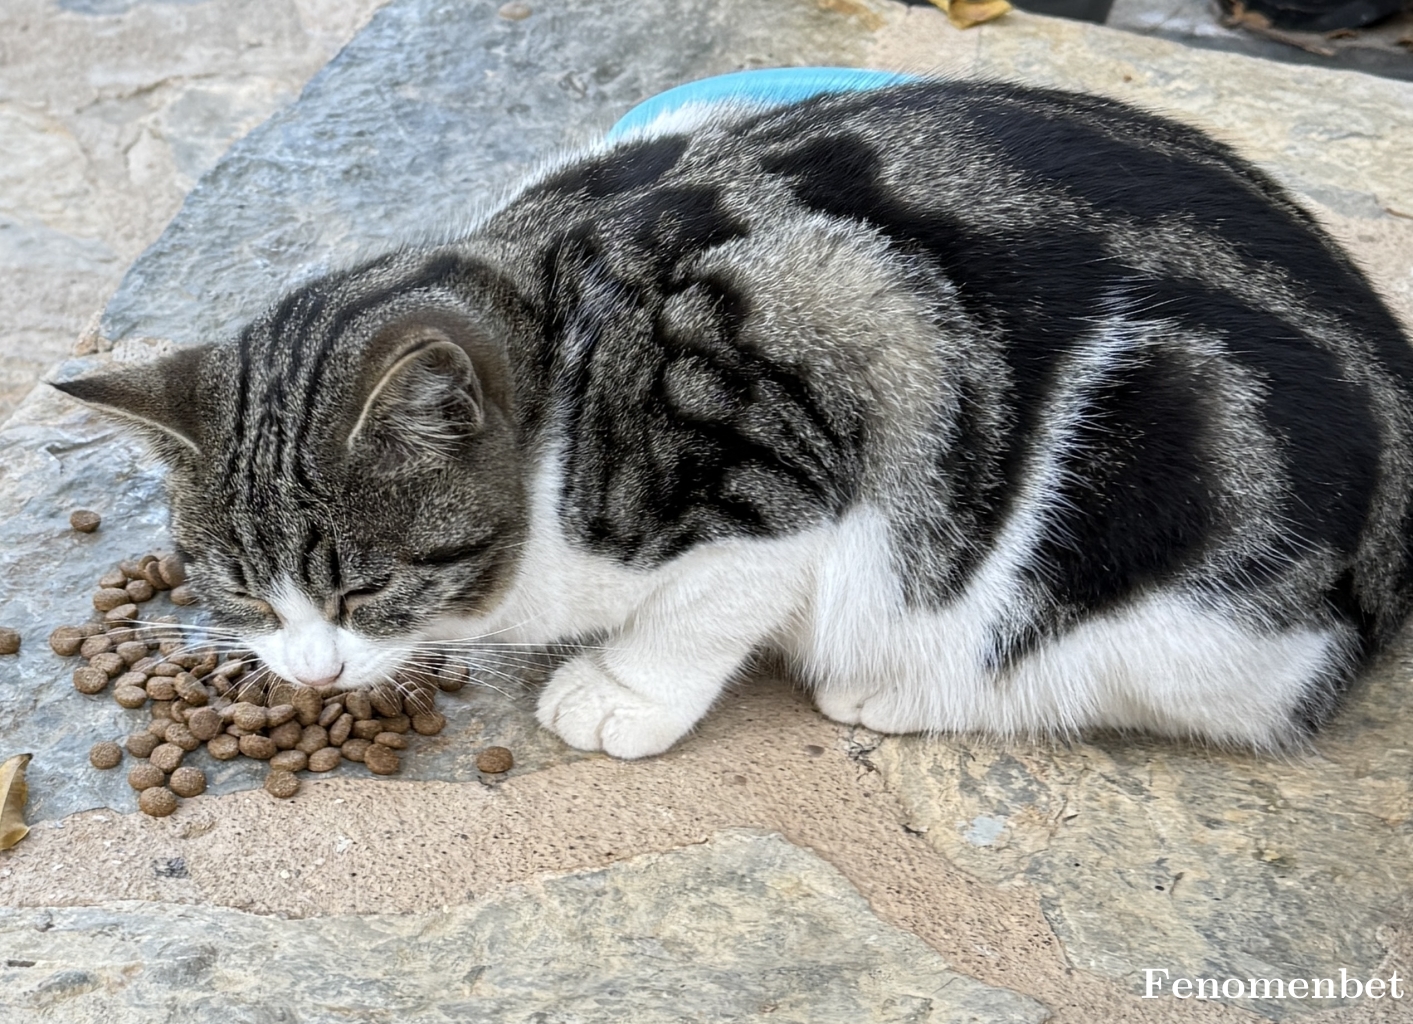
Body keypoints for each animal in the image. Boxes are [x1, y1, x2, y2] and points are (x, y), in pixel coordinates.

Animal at [55, 79, 1413, 757]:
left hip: (1153, 544)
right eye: (239, 591)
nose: (311, 670)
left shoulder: (808, 420)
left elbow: (705, 606)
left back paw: (899, 688)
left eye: (366, 586)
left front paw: (621, 692)